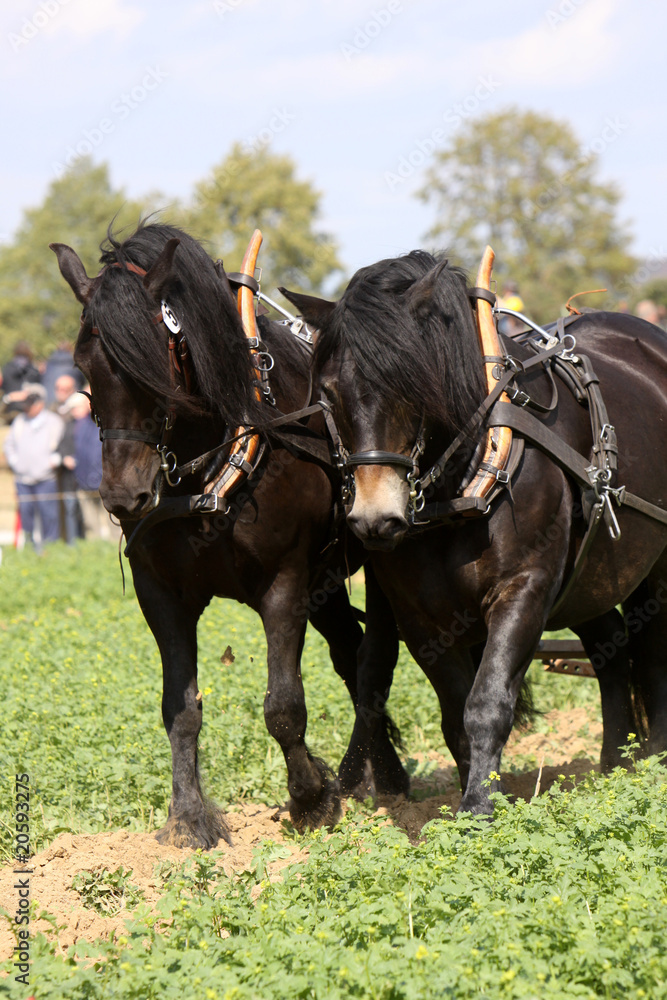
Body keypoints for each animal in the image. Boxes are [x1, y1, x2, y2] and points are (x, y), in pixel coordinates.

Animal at [49, 223, 404, 848]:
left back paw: (378, 776)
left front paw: (311, 799)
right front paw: (189, 817)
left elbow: (283, 705)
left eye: (153, 365)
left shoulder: (285, 583)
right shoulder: (161, 595)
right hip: (327, 583)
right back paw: (373, 770)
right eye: (81, 364)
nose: (122, 496)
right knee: (351, 654)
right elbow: (180, 708)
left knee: (371, 663)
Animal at [284, 248, 667, 812]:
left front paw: (480, 809)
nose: (374, 518)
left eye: (412, 383)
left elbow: (486, 701)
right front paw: (472, 798)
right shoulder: (419, 614)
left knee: (653, 648)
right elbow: (453, 712)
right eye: (329, 393)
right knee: (612, 649)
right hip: (589, 573)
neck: (464, 485)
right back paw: (613, 763)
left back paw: (652, 759)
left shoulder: (525, 587)